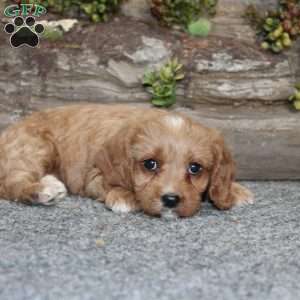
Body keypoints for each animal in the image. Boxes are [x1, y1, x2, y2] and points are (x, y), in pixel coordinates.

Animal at [0, 104, 253, 217]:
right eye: (150, 164)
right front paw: (125, 196)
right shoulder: (94, 174)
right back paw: (42, 190)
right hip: (35, 147)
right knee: (12, 183)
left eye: (195, 168)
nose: (170, 200)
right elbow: (111, 185)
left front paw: (233, 190)